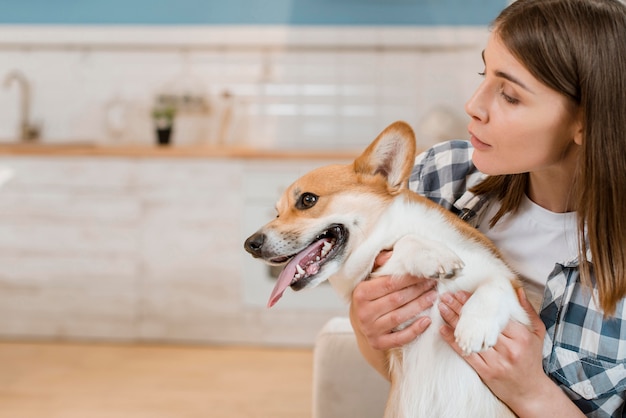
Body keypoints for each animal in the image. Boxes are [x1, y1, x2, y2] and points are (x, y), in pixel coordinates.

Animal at [244, 121, 528, 418]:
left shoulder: (517, 295)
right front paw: (433, 255)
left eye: (308, 200)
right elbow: (406, 241)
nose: (250, 244)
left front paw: (474, 327)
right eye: (277, 212)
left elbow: (497, 283)